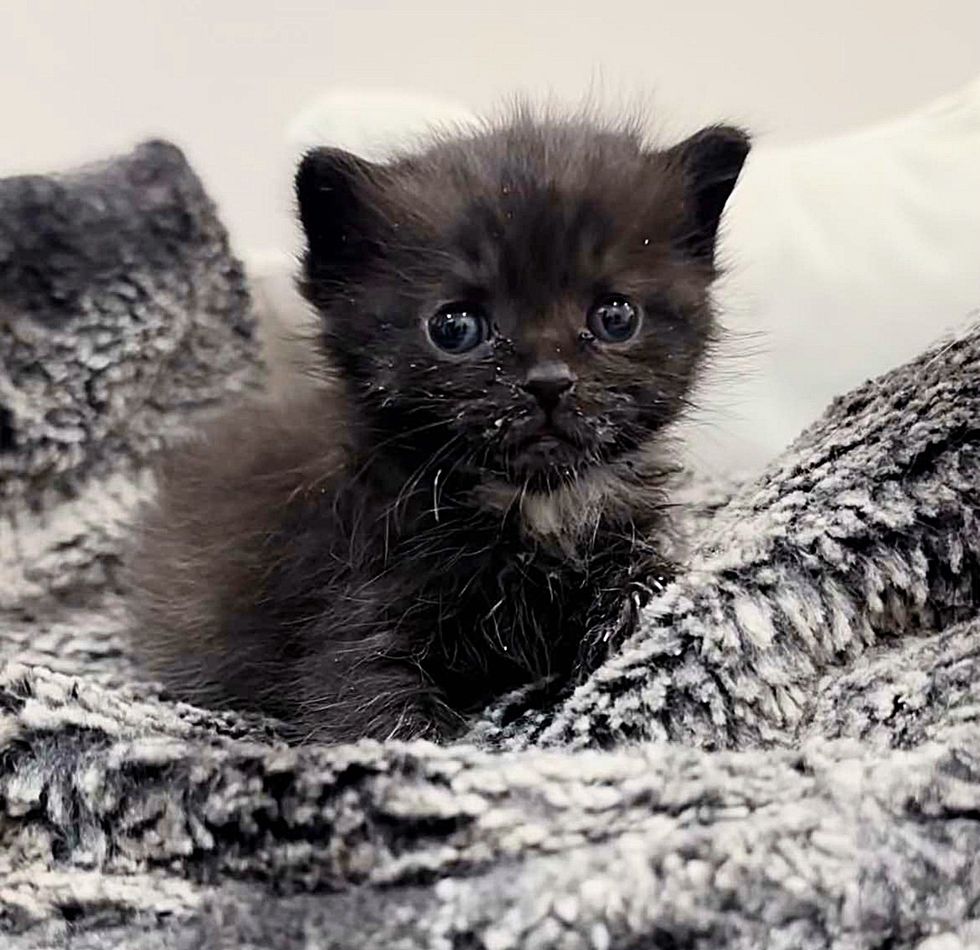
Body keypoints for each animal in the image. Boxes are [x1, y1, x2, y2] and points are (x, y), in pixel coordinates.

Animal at [126, 106, 748, 744]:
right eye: (455, 327)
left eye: (616, 316)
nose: (549, 381)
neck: (533, 503)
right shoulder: (356, 608)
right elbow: (376, 711)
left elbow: (643, 586)